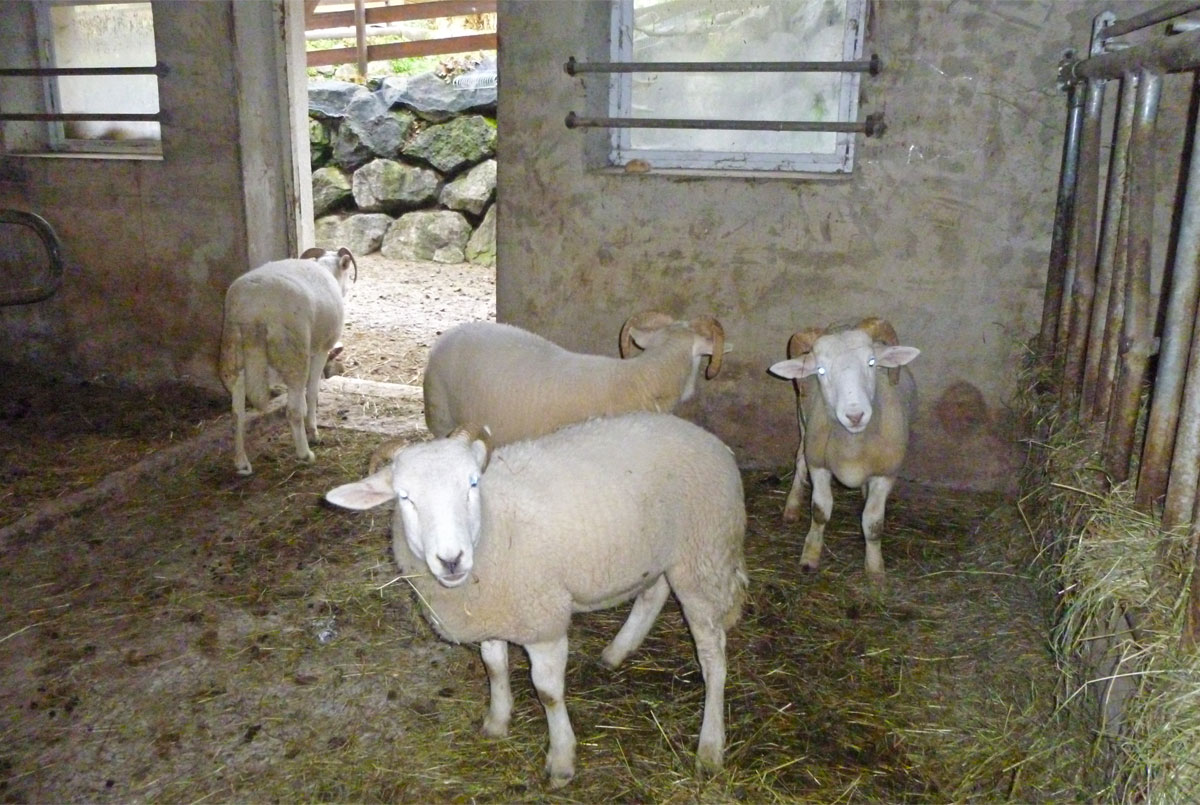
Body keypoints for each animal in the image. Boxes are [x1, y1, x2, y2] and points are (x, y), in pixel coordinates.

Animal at [218, 246, 357, 475]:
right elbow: (312, 392)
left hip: (233, 355)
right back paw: (305, 453)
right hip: (293, 355)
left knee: (236, 414)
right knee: (292, 411)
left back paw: (241, 462)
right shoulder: (320, 350)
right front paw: (313, 431)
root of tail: (252, 312)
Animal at [325, 412, 748, 787]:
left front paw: (561, 759)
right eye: (405, 497)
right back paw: (618, 650)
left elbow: (547, 693)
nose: (451, 560)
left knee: (713, 657)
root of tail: (712, 440)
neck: (494, 525)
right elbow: (494, 667)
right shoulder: (494, 615)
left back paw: (710, 746)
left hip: (702, 556)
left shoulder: (543, 623)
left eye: (472, 484)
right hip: (661, 553)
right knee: (654, 591)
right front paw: (497, 721)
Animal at [768, 318, 920, 578]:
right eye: (820, 370)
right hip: (803, 424)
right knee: (799, 461)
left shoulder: (885, 474)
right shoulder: (818, 465)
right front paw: (810, 556)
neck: (852, 446)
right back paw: (792, 508)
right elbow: (820, 511)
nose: (855, 415)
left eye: (872, 362)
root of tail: (844, 322)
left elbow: (873, 523)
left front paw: (875, 570)